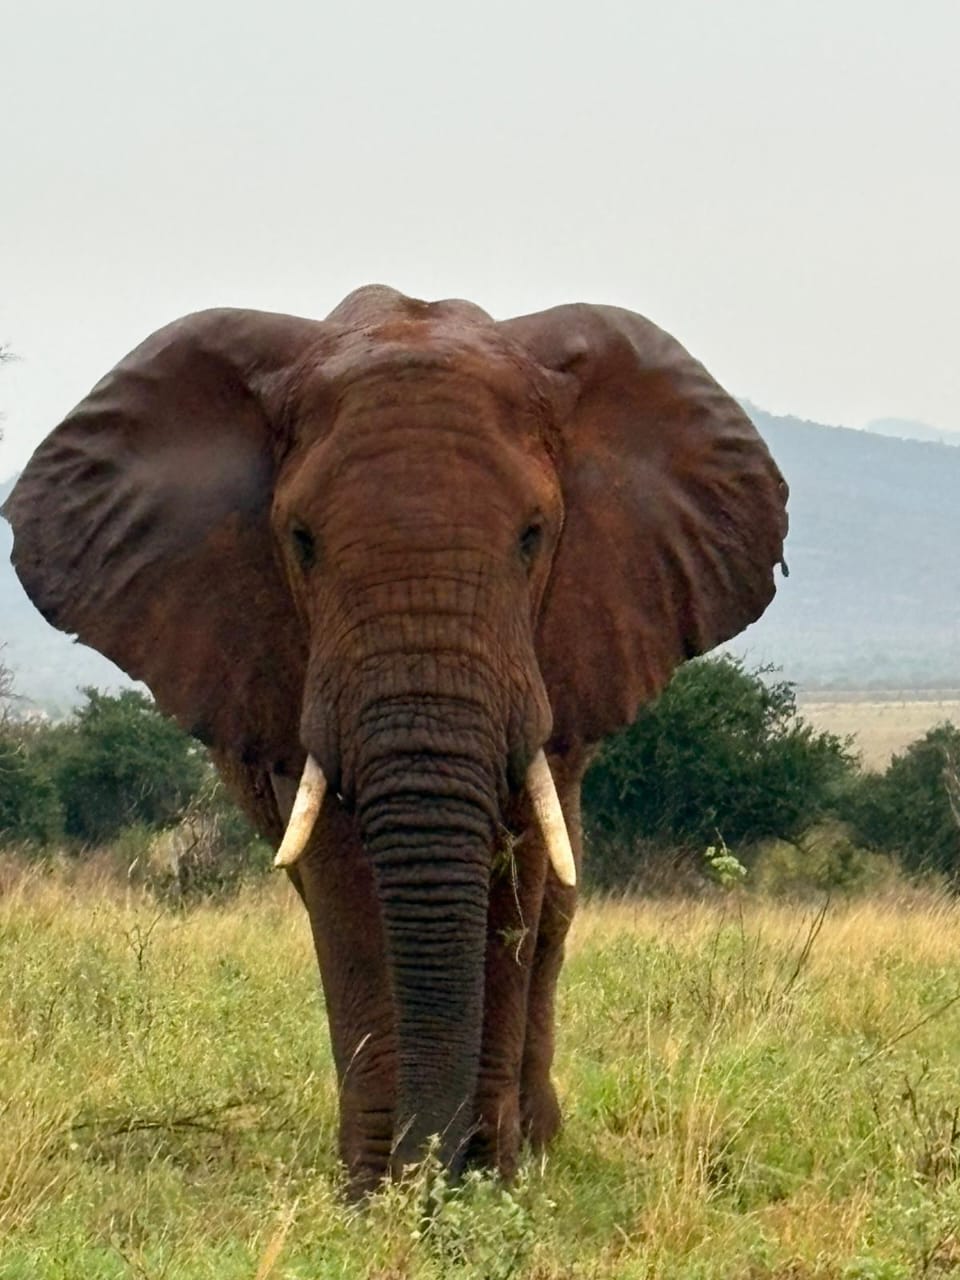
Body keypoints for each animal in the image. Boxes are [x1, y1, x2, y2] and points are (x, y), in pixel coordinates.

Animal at [3, 285, 787, 1195]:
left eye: (534, 536)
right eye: (301, 541)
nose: (432, 1171)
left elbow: (515, 878)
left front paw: (484, 1180)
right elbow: (344, 886)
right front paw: (377, 1188)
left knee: (556, 907)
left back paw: (540, 1144)